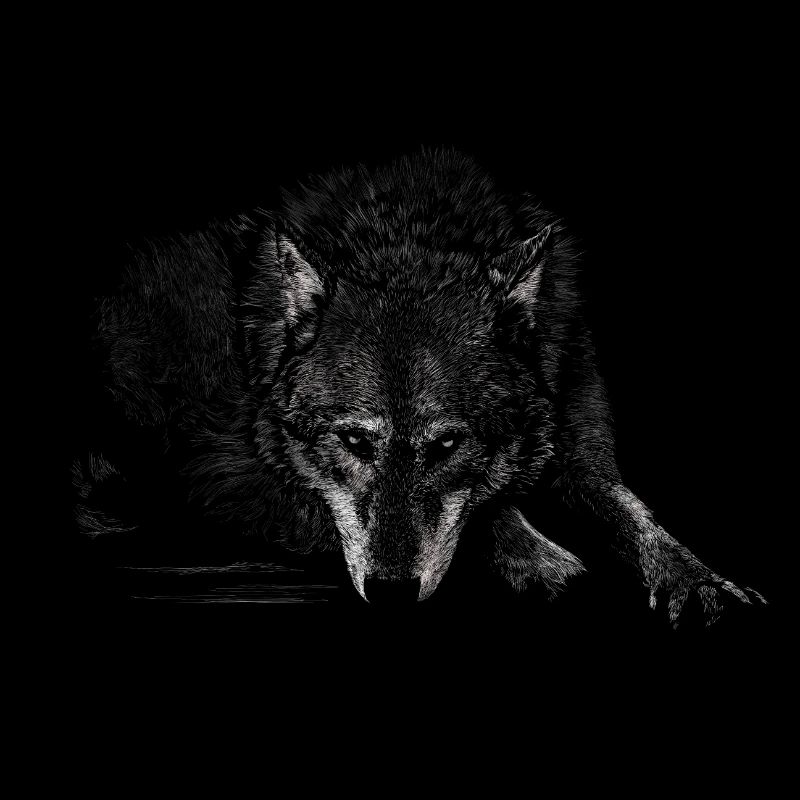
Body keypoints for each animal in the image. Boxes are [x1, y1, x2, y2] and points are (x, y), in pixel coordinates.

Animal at [73, 148, 765, 623]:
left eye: (447, 446)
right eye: (354, 442)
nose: (390, 593)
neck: (409, 236)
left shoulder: (585, 461)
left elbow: (637, 517)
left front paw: (699, 580)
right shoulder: (225, 473)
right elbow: (492, 512)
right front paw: (545, 561)